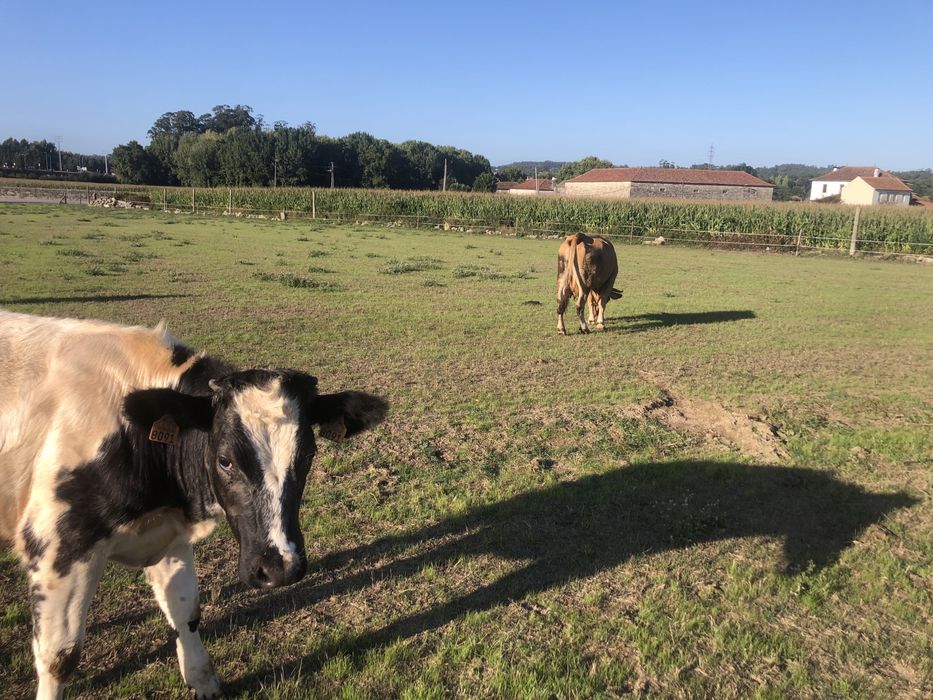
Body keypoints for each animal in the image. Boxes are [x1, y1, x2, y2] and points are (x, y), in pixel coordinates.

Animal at [0, 310, 388, 699]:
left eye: (308, 454)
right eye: (224, 460)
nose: (280, 568)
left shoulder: (169, 534)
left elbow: (186, 611)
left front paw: (202, 680)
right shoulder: (58, 548)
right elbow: (59, 656)